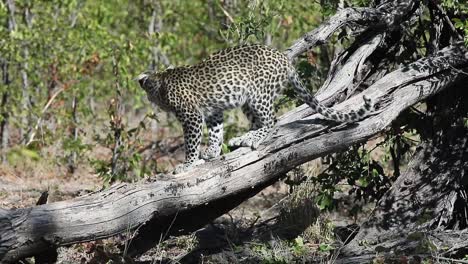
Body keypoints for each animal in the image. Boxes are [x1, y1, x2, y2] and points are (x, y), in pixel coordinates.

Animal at [136, 44, 372, 172]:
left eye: (149, 93)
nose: (149, 99)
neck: (164, 84)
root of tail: (284, 58)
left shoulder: (191, 116)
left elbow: (191, 143)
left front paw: (187, 164)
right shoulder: (213, 112)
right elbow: (216, 132)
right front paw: (212, 151)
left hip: (258, 95)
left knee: (271, 121)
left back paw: (252, 139)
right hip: (248, 101)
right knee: (257, 122)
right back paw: (243, 137)